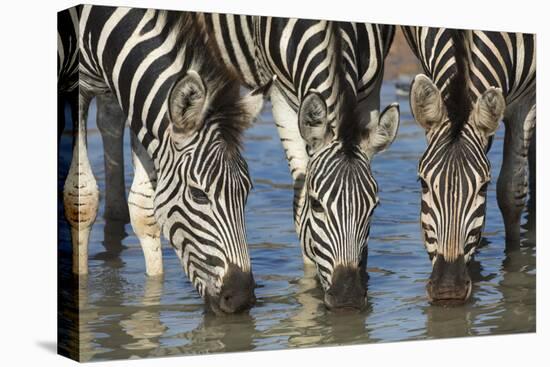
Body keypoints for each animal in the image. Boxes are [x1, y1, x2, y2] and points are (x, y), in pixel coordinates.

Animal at [60, 4, 274, 314]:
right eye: (198, 195)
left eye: (246, 192)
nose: (241, 299)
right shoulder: (79, 89)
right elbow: (83, 197)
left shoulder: (132, 94)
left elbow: (144, 208)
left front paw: (153, 296)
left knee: (109, 120)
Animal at [198, 14, 402, 310]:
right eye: (317, 205)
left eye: (374, 207)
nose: (349, 298)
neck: (333, 31)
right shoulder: (280, 98)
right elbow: (299, 201)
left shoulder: (371, 92)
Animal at [404, 26, 536, 304]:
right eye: (423, 183)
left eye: (484, 187)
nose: (447, 291)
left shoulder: (528, 99)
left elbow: (511, 192)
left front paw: (514, 270)